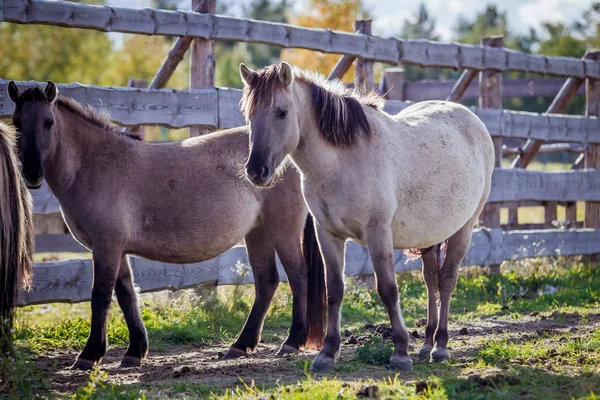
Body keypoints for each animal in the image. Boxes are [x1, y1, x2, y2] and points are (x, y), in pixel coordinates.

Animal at [7, 82, 326, 372]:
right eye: (17, 123)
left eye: (48, 122)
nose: (32, 174)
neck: (95, 163)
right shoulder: (117, 250)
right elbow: (127, 295)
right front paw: (134, 351)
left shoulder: (106, 246)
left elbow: (101, 296)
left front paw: (90, 355)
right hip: (257, 233)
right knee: (266, 282)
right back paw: (240, 345)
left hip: (282, 231)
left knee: (298, 276)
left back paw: (291, 342)